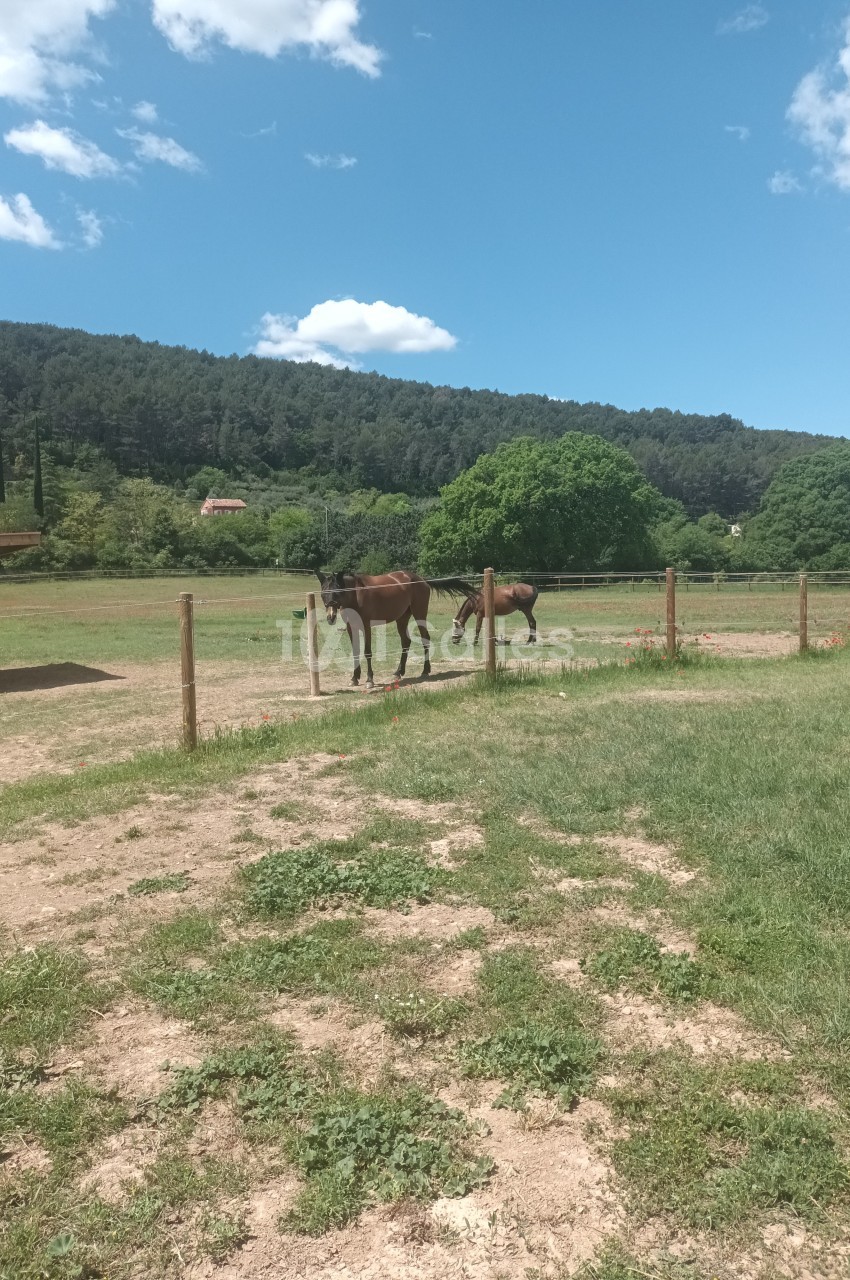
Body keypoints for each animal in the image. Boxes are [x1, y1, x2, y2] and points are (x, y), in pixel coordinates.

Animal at [317, 571, 477, 689]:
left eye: (337, 592)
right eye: (323, 594)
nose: (330, 617)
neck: (355, 595)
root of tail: (421, 579)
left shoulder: (366, 626)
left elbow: (367, 652)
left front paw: (369, 680)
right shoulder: (351, 627)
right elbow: (356, 652)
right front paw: (354, 678)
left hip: (419, 614)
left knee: (425, 639)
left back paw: (425, 670)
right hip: (402, 618)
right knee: (406, 642)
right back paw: (398, 672)